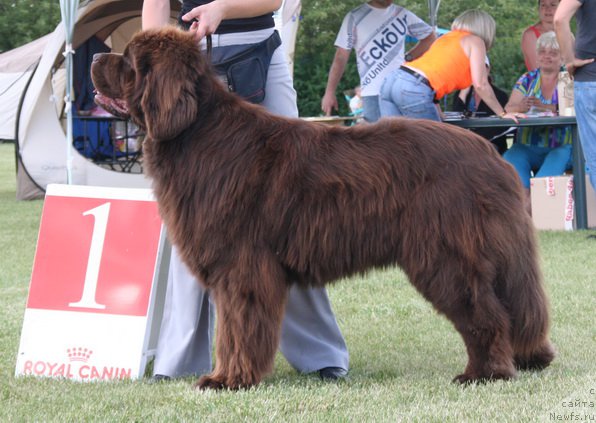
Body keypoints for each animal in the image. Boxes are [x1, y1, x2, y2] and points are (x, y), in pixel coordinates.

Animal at [92, 27, 556, 390]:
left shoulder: (240, 265)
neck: (195, 131)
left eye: (128, 61)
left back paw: (484, 373)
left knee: (486, 313)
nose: (95, 55)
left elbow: (235, 328)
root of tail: (491, 155)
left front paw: (228, 379)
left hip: (444, 254)